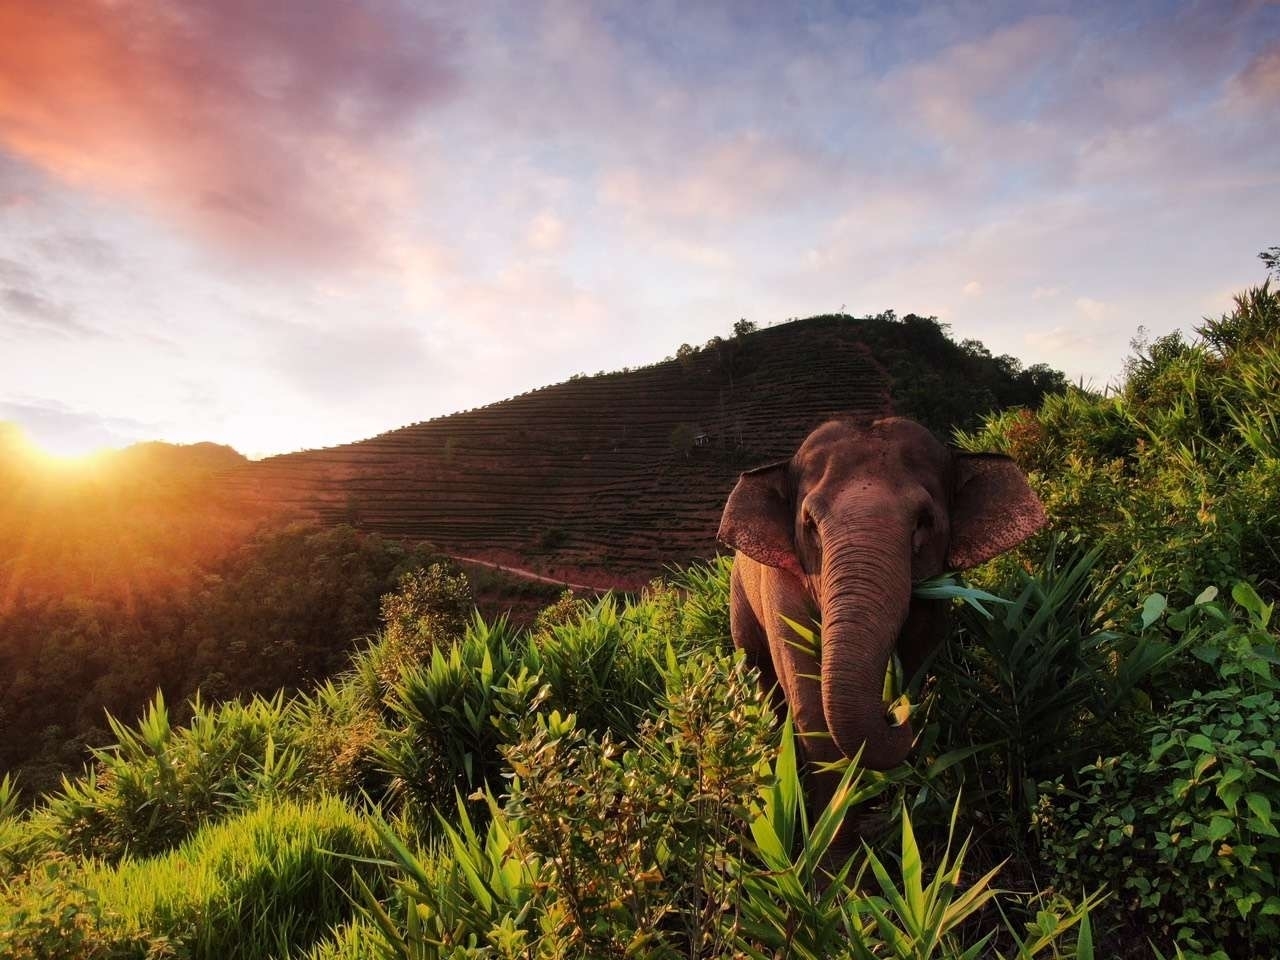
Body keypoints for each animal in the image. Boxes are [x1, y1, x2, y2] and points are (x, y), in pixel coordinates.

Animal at [716, 414, 1044, 803]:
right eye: (810, 525)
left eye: (924, 521)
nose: (896, 710)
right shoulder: (782, 588)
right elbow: (808, 700)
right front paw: (833, 811)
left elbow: (922, 649)